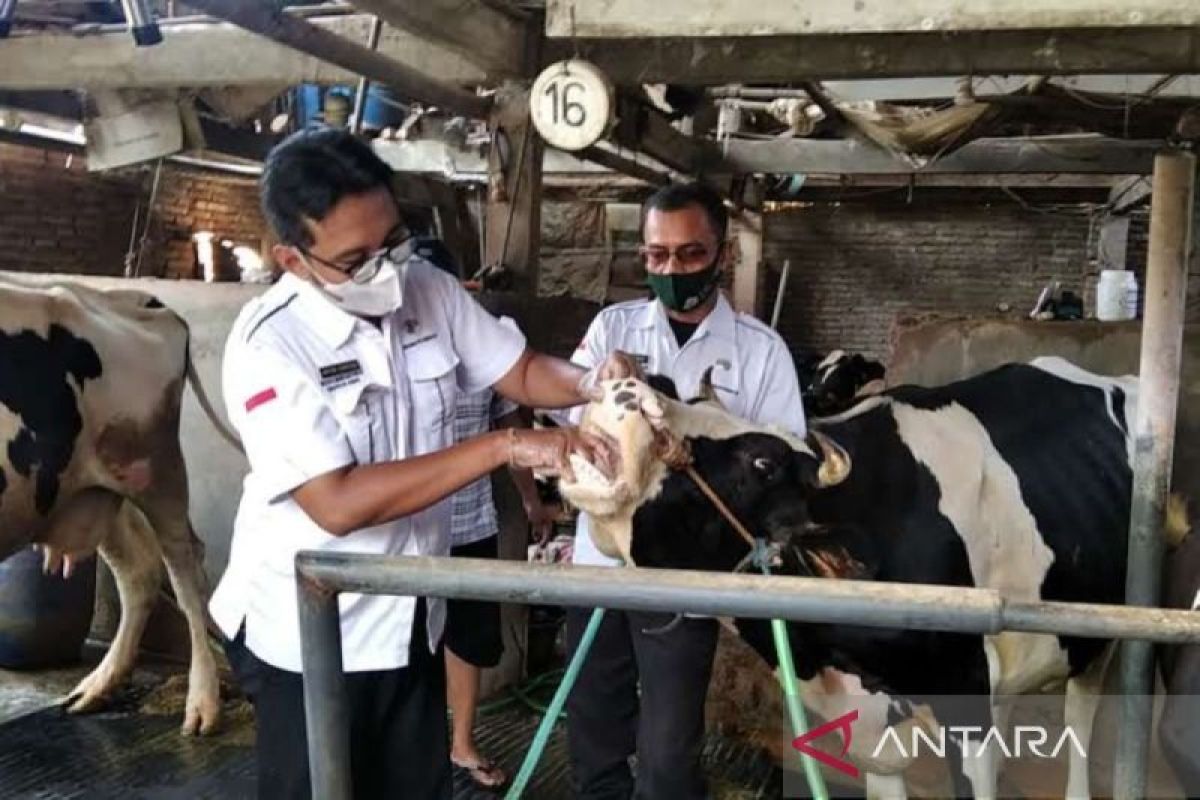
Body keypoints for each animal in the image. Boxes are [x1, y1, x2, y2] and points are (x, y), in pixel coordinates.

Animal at [0, 277, 236, 738]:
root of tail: (139, 298)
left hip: (158, 471)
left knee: (186, 575)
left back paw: (203, 702)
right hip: (94, 486)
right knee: (139, 570)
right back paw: (98, 686)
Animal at [561, 359, 1161, 796]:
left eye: (763, 464)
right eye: (682, 395)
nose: (630, 389)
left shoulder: (964, 695)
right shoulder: (870, 729)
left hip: (1111, 628)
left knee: (1082, 711)